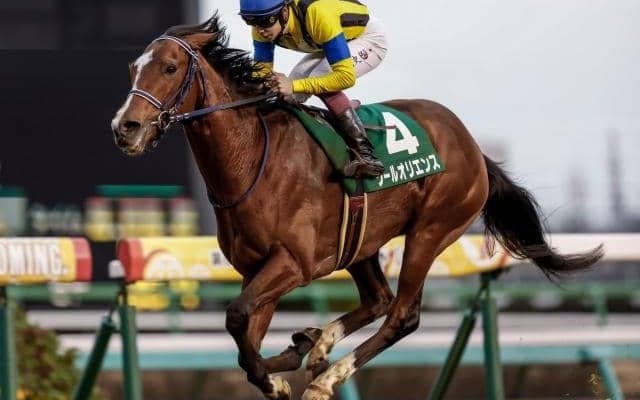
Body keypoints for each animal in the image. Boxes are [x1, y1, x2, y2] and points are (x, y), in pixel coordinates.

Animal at [111, 14, 603, 400]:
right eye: (133, 68)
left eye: (170, 67)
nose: (125, 126)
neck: (252, 160)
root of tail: (473, 147)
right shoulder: (257, 270)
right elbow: (244, 334)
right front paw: (284, 361)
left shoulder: (293, 263)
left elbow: (237, 320)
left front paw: (280, 377)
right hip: (362, 241)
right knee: (378, 299)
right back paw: (314, 345)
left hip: (431, 230)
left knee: (402, 314)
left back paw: (326, 376)